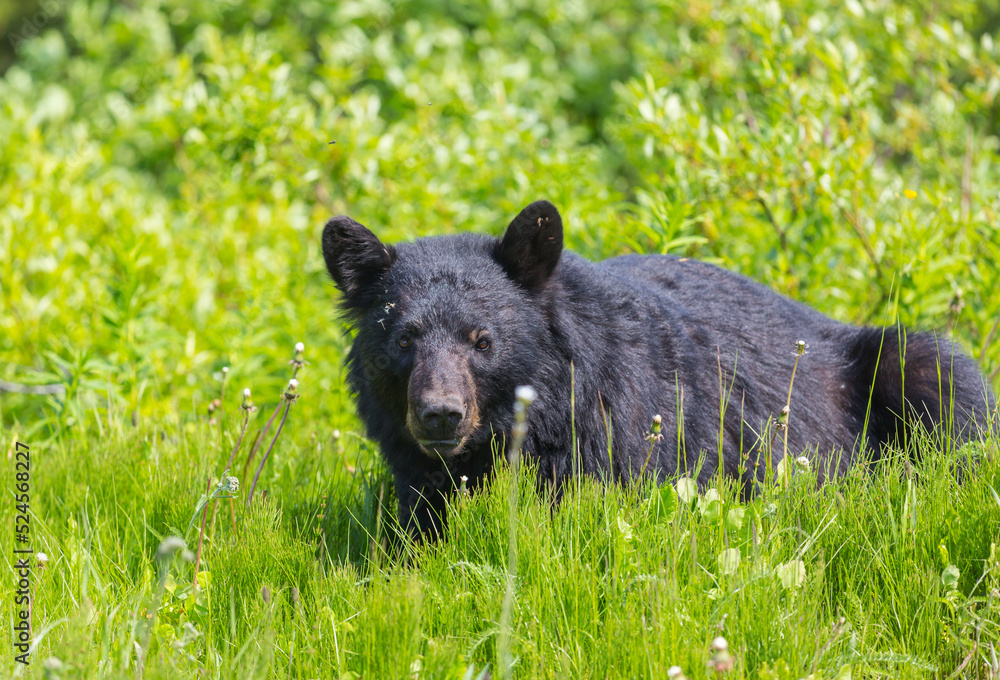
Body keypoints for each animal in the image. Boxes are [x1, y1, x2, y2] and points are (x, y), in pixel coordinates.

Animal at [322, 199, 996, 538]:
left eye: (482, 340)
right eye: (403, 339)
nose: (440, 414)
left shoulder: (621, 437)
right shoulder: (417, 473)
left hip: (893, 364)